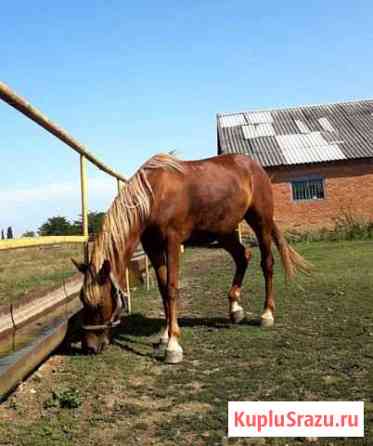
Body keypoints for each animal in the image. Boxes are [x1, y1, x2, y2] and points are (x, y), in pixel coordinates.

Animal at [72, 153, 308, 362]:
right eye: (82, 301)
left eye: (98, 304)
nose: (88, 347)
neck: (154, 195)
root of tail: (255, 167)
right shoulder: (153, 248)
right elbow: (163, 289)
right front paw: (165, 336)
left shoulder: (172, 242)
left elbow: (171, 289)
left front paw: (173, 346)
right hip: (224, 232)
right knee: (243, 257)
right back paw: (235, 309)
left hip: (261, 222)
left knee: (266, 263)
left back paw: (266, 315)